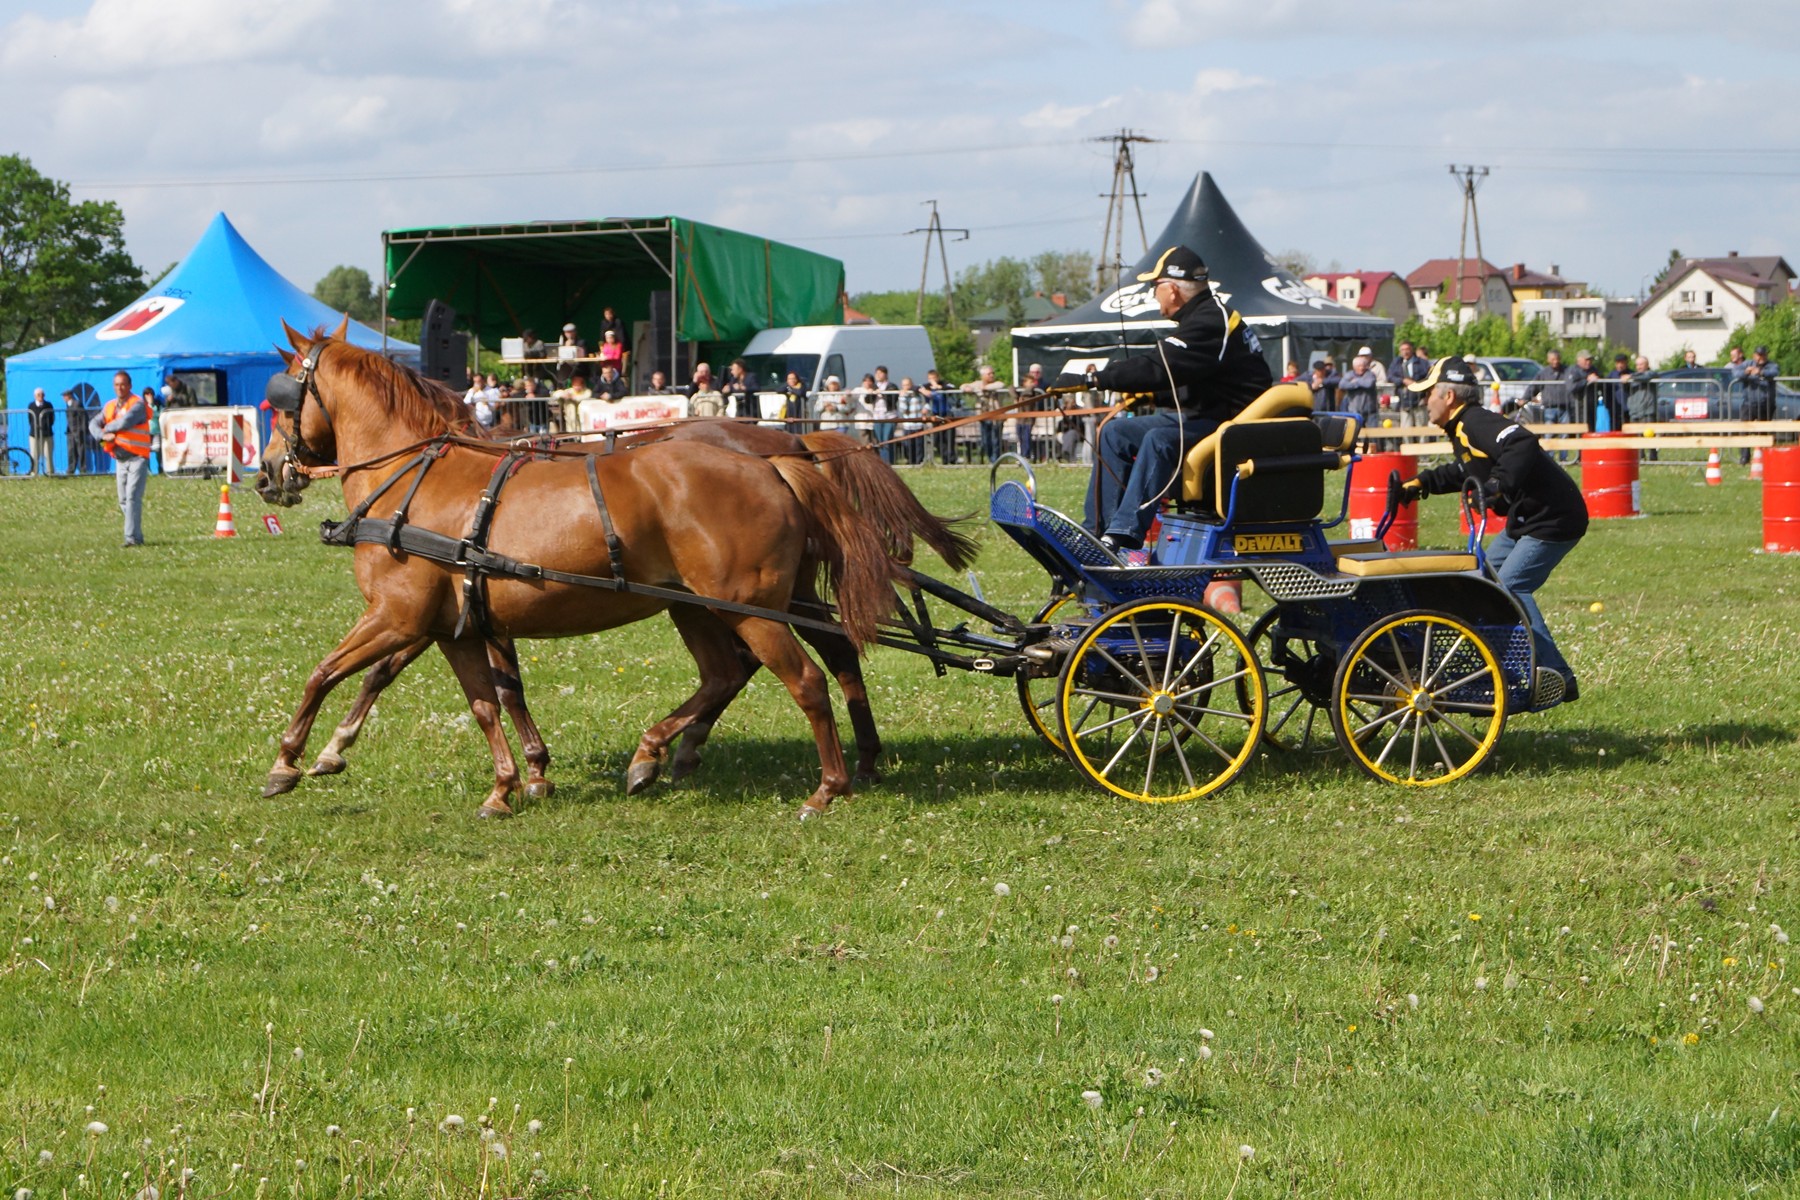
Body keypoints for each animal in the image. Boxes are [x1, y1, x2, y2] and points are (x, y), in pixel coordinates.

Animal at [253, 331, 900, 816]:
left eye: (281, 395)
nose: (267, 473)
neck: (411, 477)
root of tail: (777, 460)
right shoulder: (453, 627)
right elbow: (488, 700)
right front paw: (512, 784)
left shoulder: (397, 618)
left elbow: (326, 674)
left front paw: (292, 760)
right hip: (704, 605)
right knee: (735, 672)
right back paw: (660, 755)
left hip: (749, 609)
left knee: (807, 680)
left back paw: (828, 787)